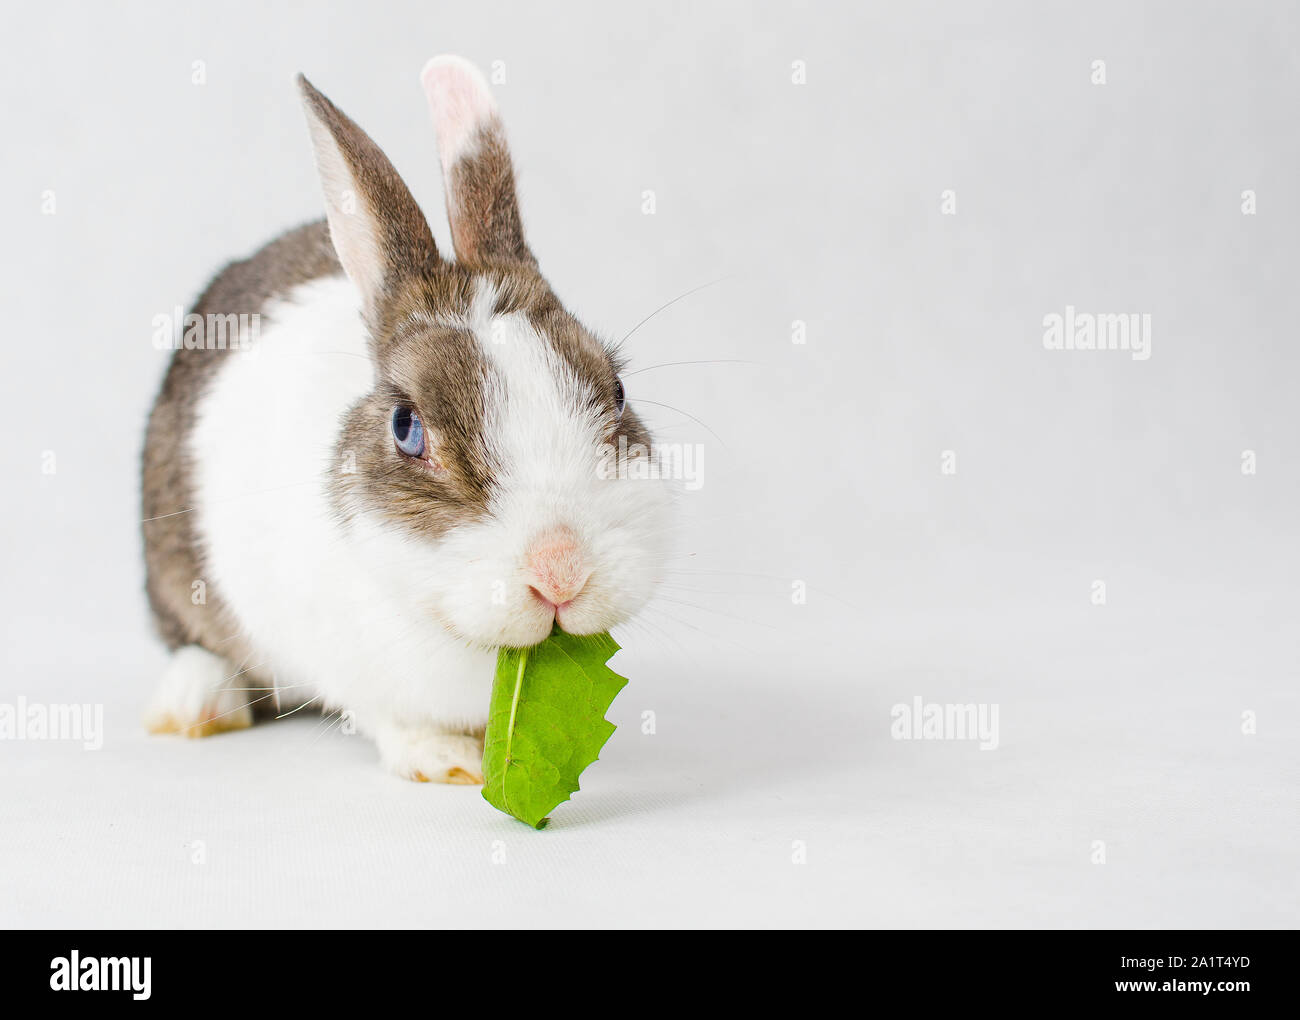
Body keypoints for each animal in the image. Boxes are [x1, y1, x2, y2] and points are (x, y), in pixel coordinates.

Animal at [140, 56, 671, 784]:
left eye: (617, 394)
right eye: (406, 428)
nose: (561, 572)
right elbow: (387, 716)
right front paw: (446, 761)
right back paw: (196, 705)